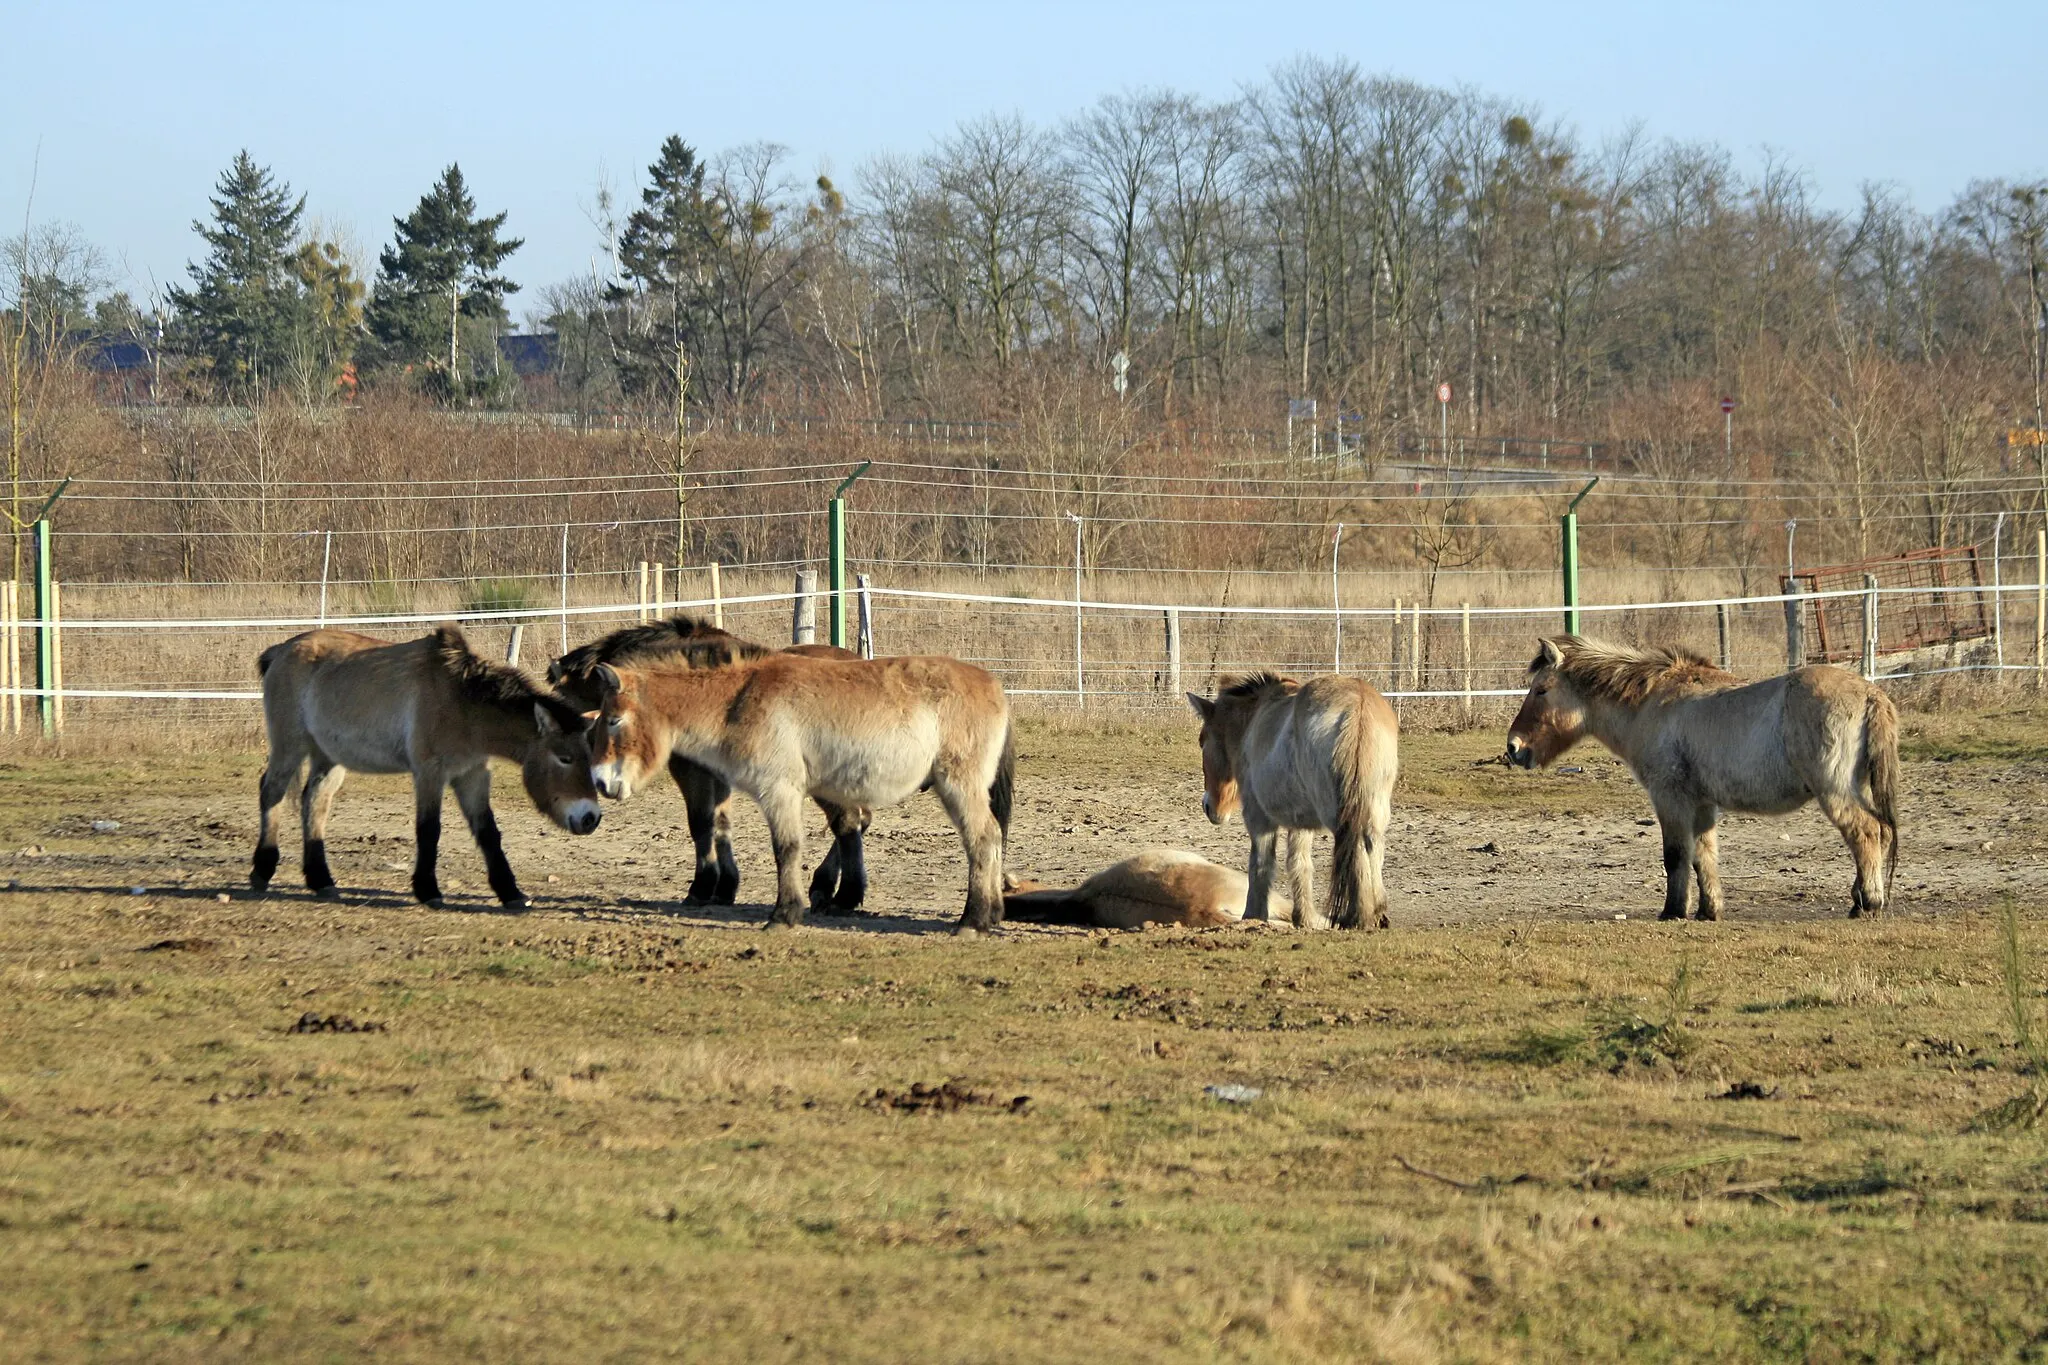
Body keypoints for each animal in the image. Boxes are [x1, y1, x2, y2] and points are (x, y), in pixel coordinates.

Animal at [249, 626, 598, 908]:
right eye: (564, 758)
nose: (590, 819)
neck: (463, 701)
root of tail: (282, 650)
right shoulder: (430, 773)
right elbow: (429, 829)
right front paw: (428, 890)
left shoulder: (472, 775)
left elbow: (488, 831)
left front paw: (510, 892)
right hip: (289, 748)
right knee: (271, 792)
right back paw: (262, 870)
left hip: (328, 757)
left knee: (315, 803)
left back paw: (321, 880)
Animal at [548, 618, 868, 916]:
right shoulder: (719, 775)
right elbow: (721, 825)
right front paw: (725, 886)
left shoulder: (691, 770)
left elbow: (701, 822)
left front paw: (702, 886)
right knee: (858, 820)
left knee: (847, 821)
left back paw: (838, 893)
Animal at [585, 654, 1015, 933]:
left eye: (613, 720)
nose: (602, 783)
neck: (737, 702)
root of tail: (995, 686)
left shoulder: (780, 790)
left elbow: (786, 849)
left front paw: (784, 915)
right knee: (992, 837)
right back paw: (991, 914)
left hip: (959, 786)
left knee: (981, 838)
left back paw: (973, 921)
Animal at [1507, 638, 1900, 916]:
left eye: (1541, 690)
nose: (1513, 747)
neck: (1651, 702)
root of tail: (1871, 694)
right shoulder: (1702, 804)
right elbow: (1703, 855)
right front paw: (1709, 911)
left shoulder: (1670, 798)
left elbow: (1676, 855)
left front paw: (1672, 911)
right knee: (1882, 832)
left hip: (1834, 791)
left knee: (1866, 832)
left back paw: (1868, 903)